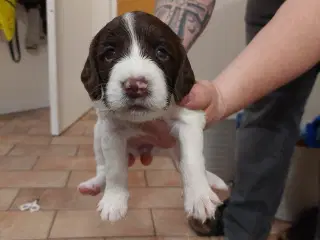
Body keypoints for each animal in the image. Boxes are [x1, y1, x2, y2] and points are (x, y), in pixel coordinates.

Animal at [77, 10, 228, 222]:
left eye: (161, 53)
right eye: (109, 54)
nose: (135, 86)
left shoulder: (189, 119)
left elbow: (192, 161)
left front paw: (199, 197)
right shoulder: (110, 131)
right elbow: (114, 168)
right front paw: (114, 200)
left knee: (182, 164)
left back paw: (207, 181)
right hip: (98, 133)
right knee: (102, 166)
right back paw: (94, 184)